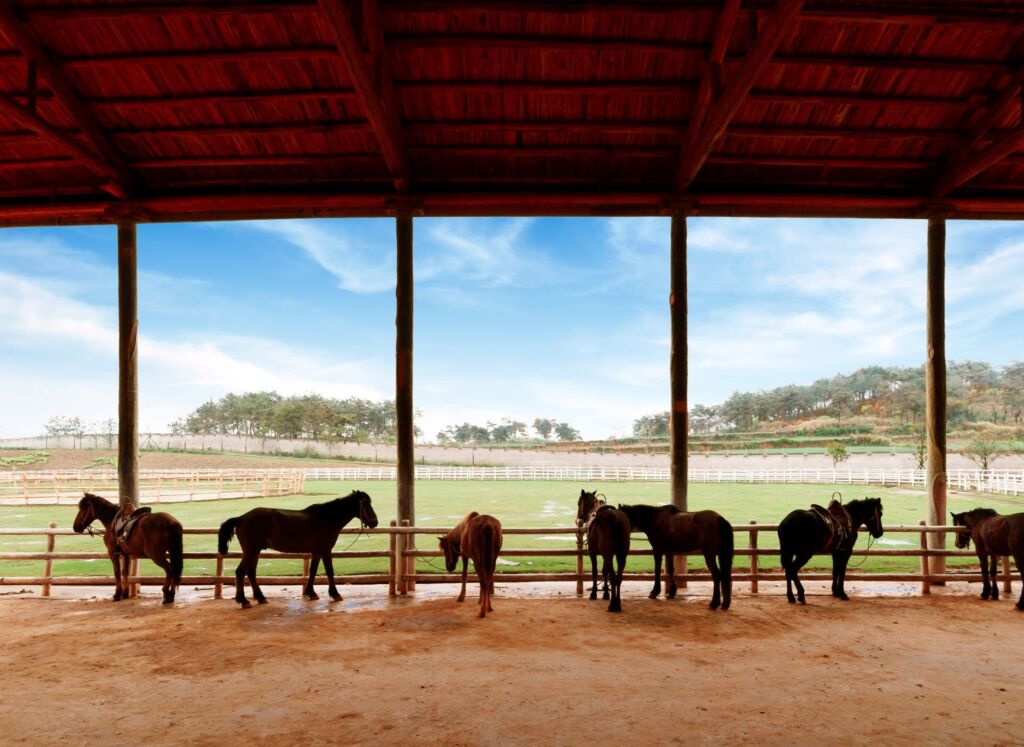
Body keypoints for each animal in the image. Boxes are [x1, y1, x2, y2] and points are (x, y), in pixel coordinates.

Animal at [218, 489, 378, 606]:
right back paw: (243, 601)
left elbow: (313, 571)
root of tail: (241, 518)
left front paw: (311, 593)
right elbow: (329, 572)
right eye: (365, 503)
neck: (327, 518)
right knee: (240, 572)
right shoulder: (326, 551)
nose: (374, 522)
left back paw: (260, 597)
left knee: (250, 573)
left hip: (255, 552)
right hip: (251, 551)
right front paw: (335, 594)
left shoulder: (316, 552)